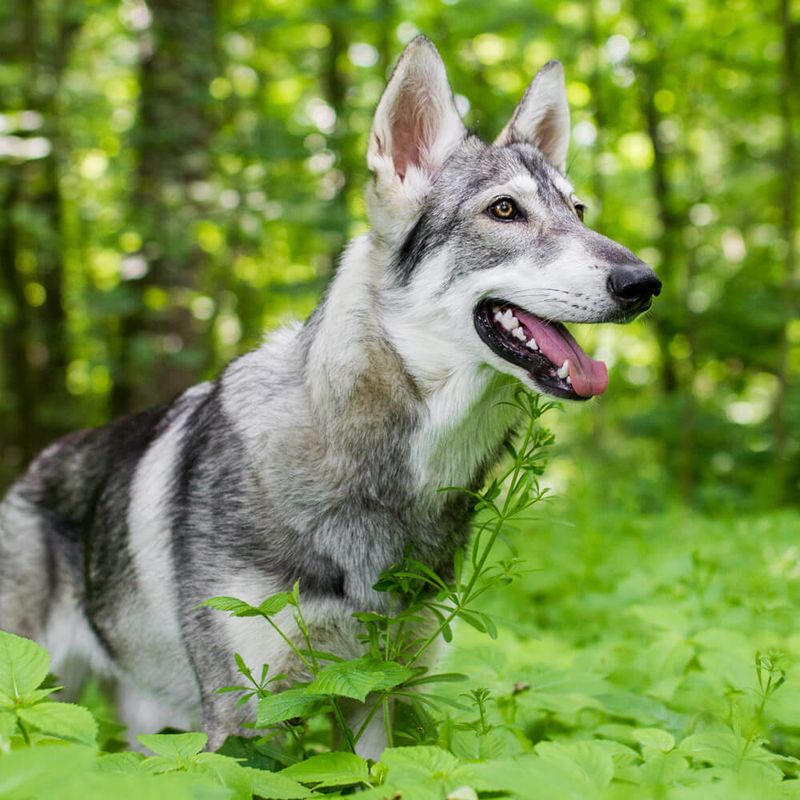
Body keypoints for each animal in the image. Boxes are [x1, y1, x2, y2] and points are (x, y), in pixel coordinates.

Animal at [0, 37, 660, 756]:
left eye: (579, 212)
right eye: (505, 210)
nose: (644, 282)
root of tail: (32, 467)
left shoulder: (377, 690)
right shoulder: (243, 719)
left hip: (153, 721)